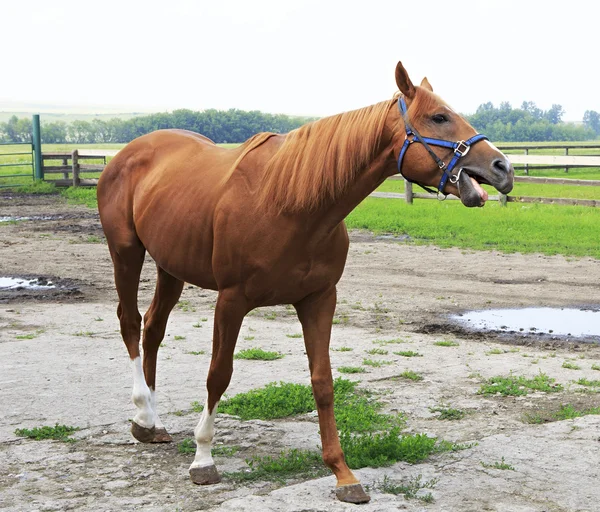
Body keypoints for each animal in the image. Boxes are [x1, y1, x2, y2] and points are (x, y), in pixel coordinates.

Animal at [98, 62, 516, 502]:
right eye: (438, 117)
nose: (503, 168)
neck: (291, 204)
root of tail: (126, 153)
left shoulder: (319, 299)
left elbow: (323, 381)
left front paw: (343, 474)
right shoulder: (231, 301)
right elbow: (218, 375)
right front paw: (203, 458)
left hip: (170, 267)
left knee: (153, 328)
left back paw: (150, 423)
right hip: (126, 253)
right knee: (130, 322)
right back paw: (143, 409)